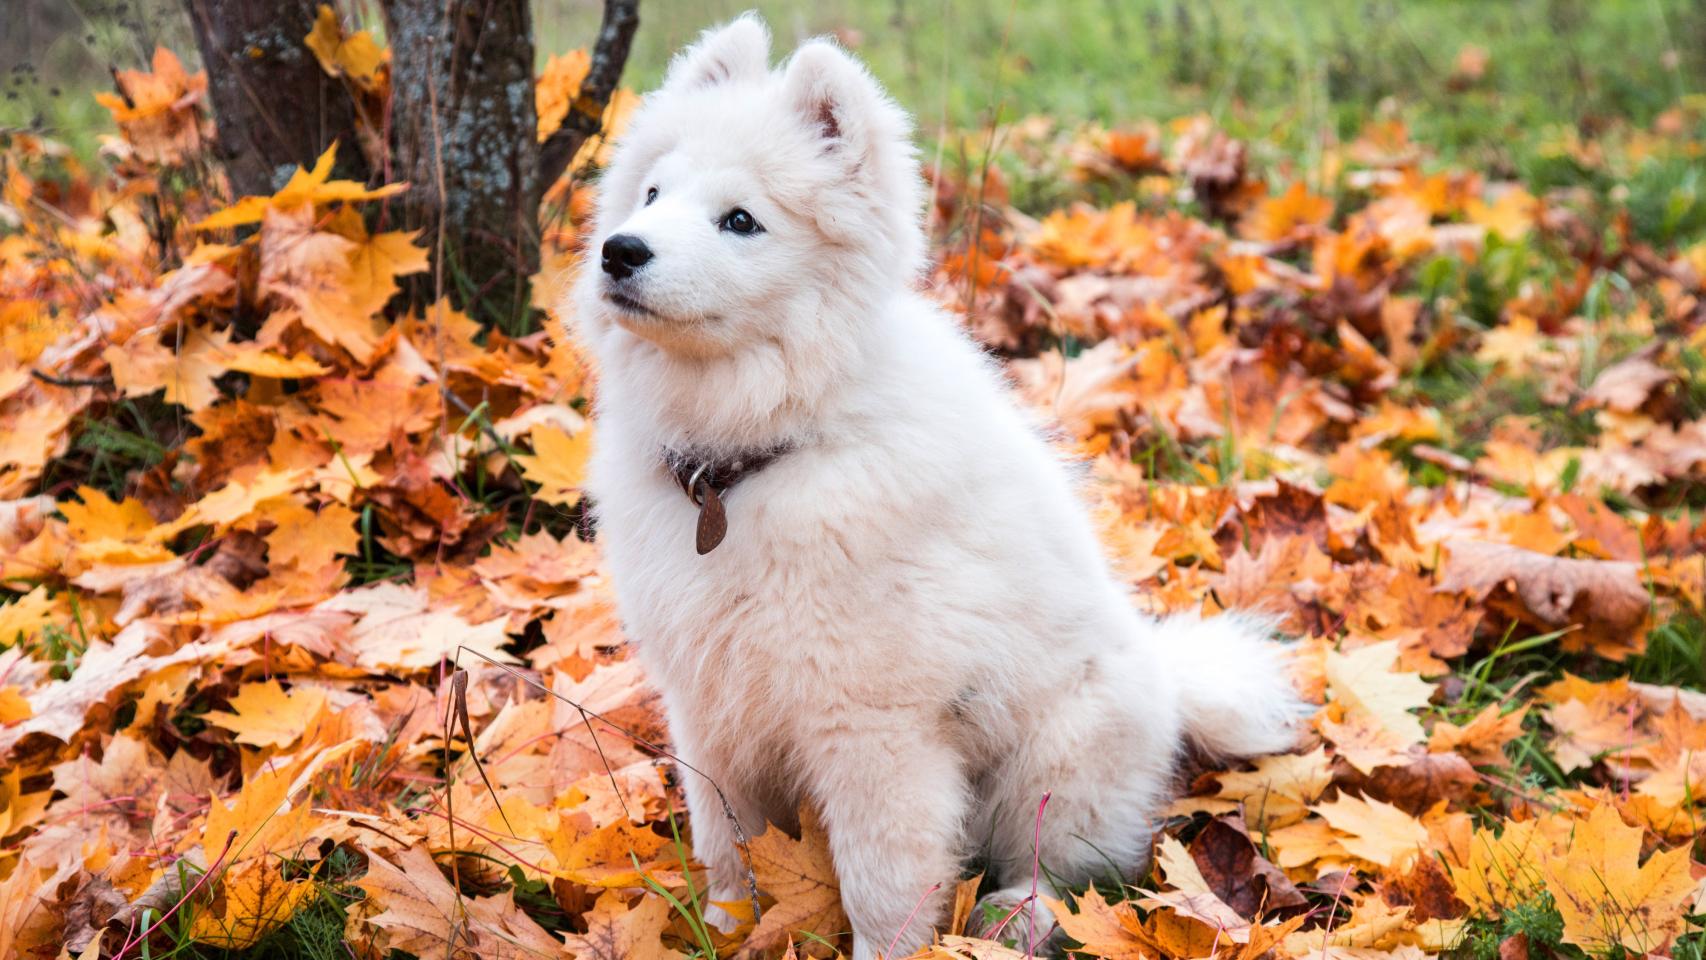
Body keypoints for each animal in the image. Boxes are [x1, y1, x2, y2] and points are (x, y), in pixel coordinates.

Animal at [566, 15, 1296, 960]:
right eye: (651, 193)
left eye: (741, 221)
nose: (621, 251)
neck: (755, 454)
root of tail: (1173, 686)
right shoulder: (708, 700)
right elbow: (729, 845)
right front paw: (723, 932)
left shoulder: (876, 727)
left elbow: (883, 884)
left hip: (1056, 755)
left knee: (1068, 868)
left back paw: (1014, 917)